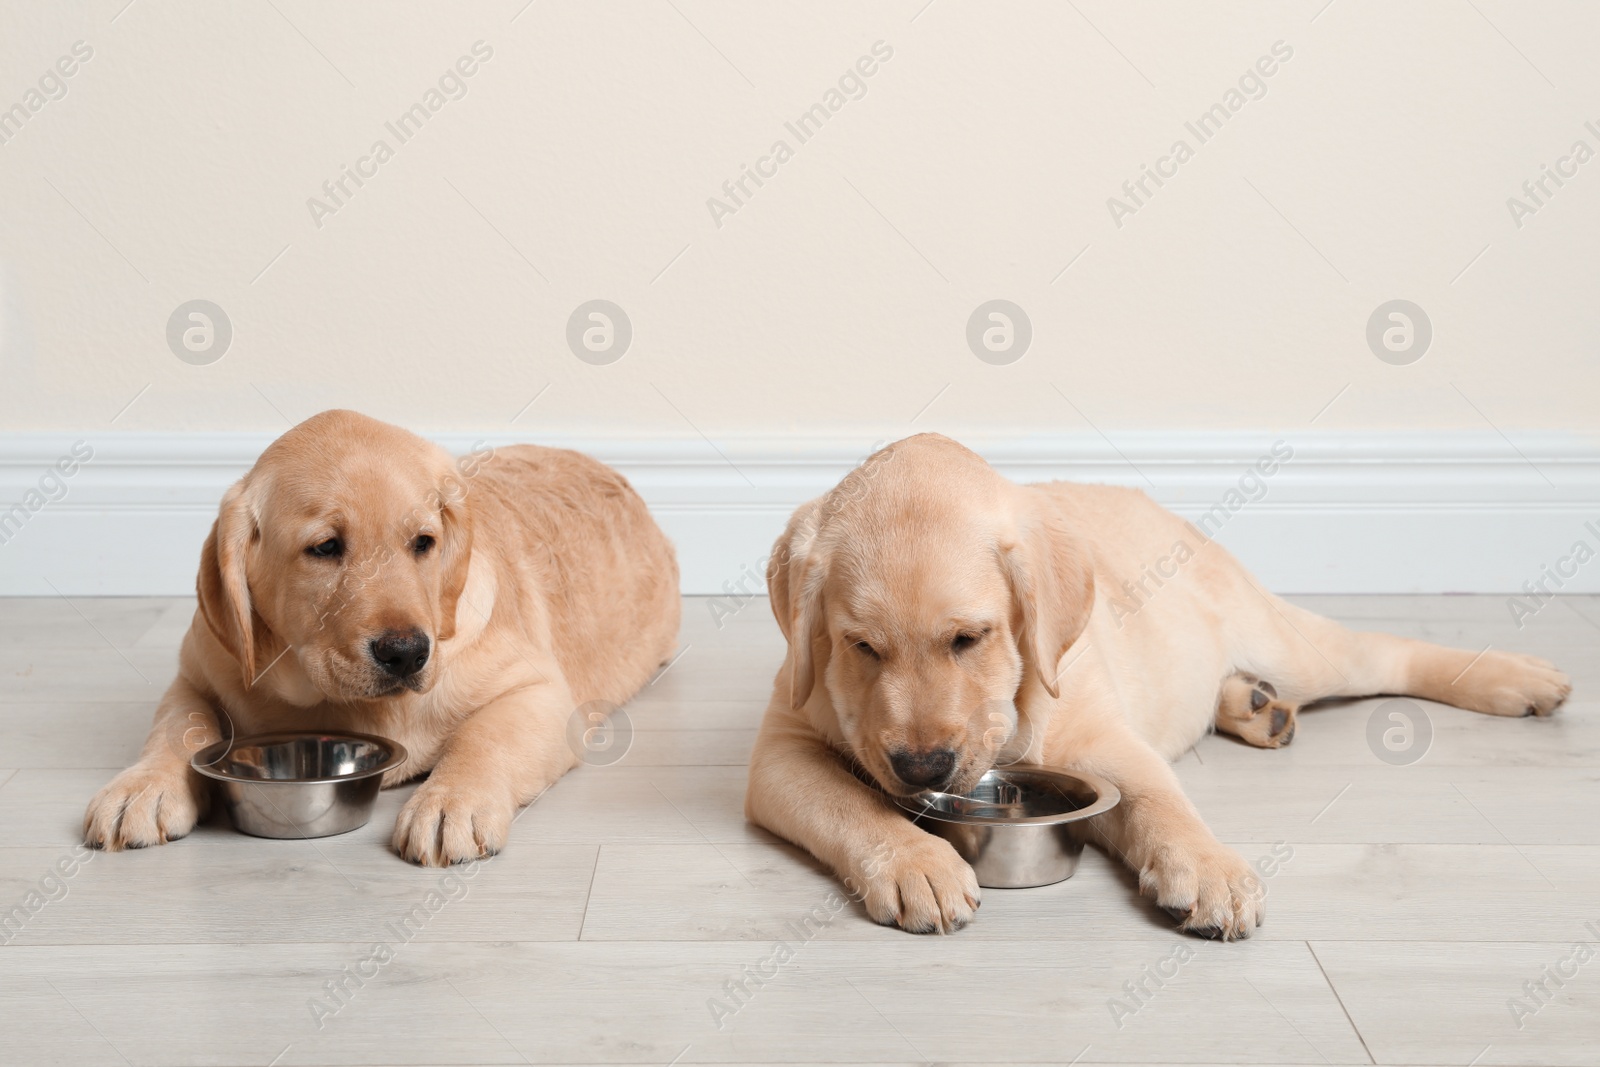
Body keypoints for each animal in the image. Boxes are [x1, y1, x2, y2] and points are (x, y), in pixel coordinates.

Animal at [86, 409, 681, 870]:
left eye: (423, 542)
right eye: (325, 547)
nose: (407, 653)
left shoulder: (538, 692)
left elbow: (483, 738)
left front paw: (451, 803)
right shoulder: (195, 672)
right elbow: (178, 727)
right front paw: (140, 788)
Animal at [745, 431, 1561, 934]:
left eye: (969, 639)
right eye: (860, 647)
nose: (921, 769)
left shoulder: (1105, 738)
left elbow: (1159, 797)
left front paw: (1209, 867)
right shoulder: (782, 748)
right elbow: (850, 803)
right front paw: (916, 861)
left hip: (1287, 639)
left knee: (1381, 652)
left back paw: (1517, 675)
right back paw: (1255, 706)